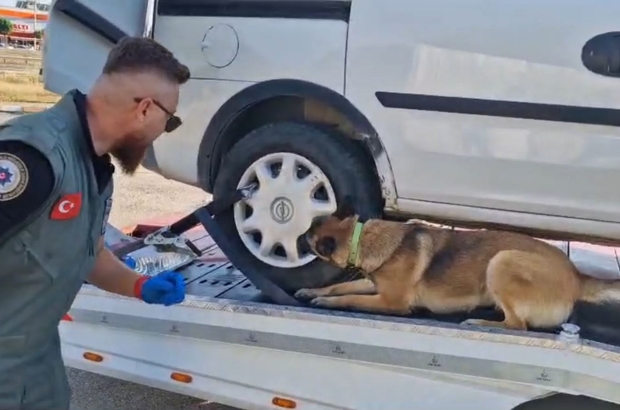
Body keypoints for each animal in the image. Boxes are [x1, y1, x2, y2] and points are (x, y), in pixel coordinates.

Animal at [296, 200, 620, 332]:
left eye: (307, 236)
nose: (294, 239)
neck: (361, 236)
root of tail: (577, 276)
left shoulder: (392, 301)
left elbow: (349, 296)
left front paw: (326, 302)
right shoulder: (373, 283)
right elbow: (340, 285)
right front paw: (311, 291)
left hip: (501, 261)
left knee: (518, 325)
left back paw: (480, 322)